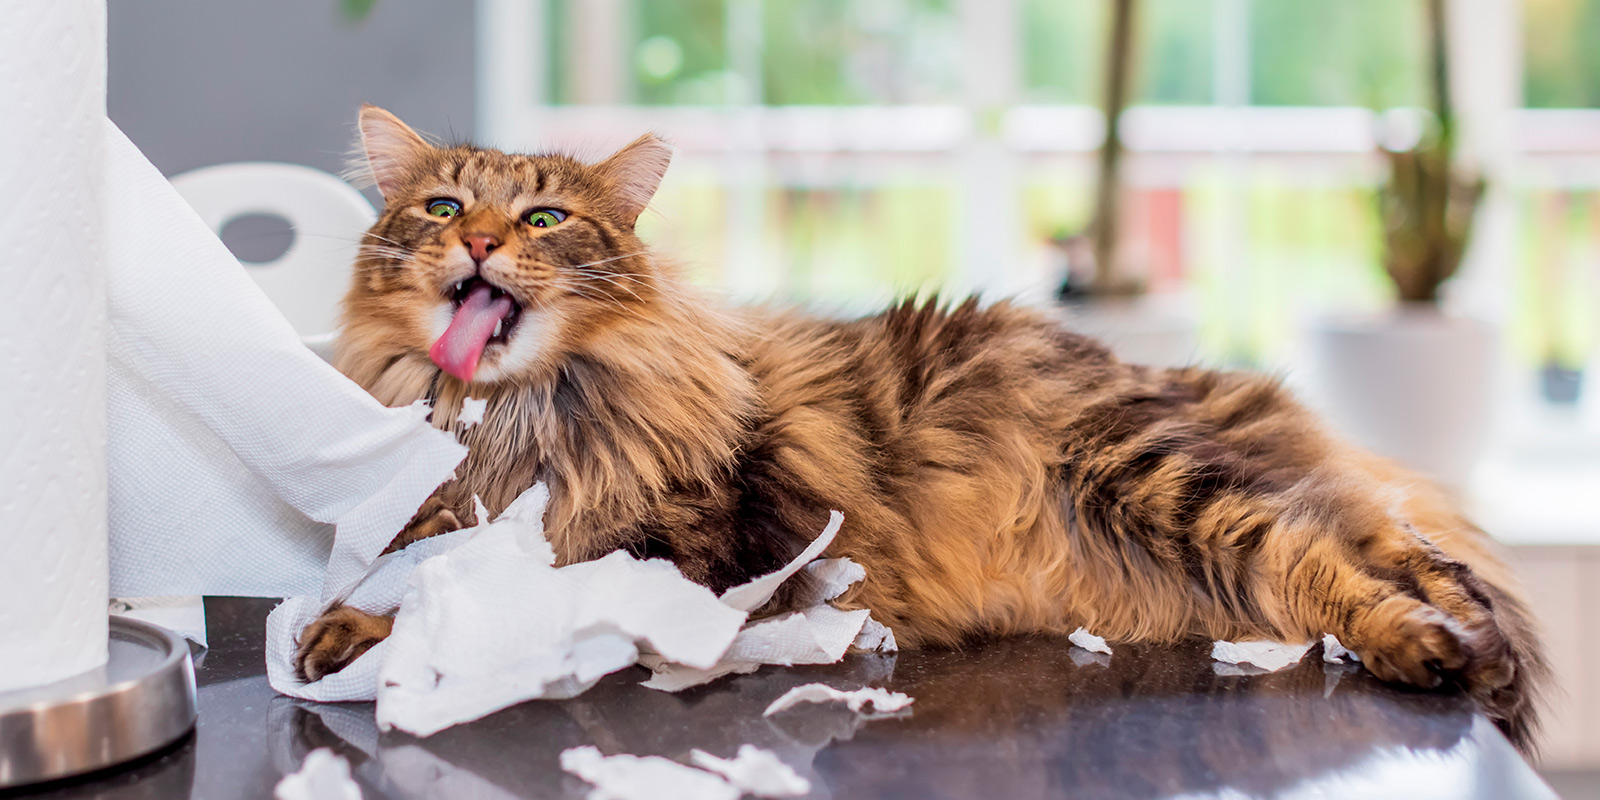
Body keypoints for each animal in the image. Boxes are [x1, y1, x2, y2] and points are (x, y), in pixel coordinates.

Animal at [294, 106, 1542, 748]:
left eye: (546, 217)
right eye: (445, 205)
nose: (481, 243)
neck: (514, 420)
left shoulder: (675, 551)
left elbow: (501, 582)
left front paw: (356, 633)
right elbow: (415, 563)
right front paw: (345, 617)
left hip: (1163, 483)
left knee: (1331, 554)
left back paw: (1438, 650)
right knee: (1373, 539)